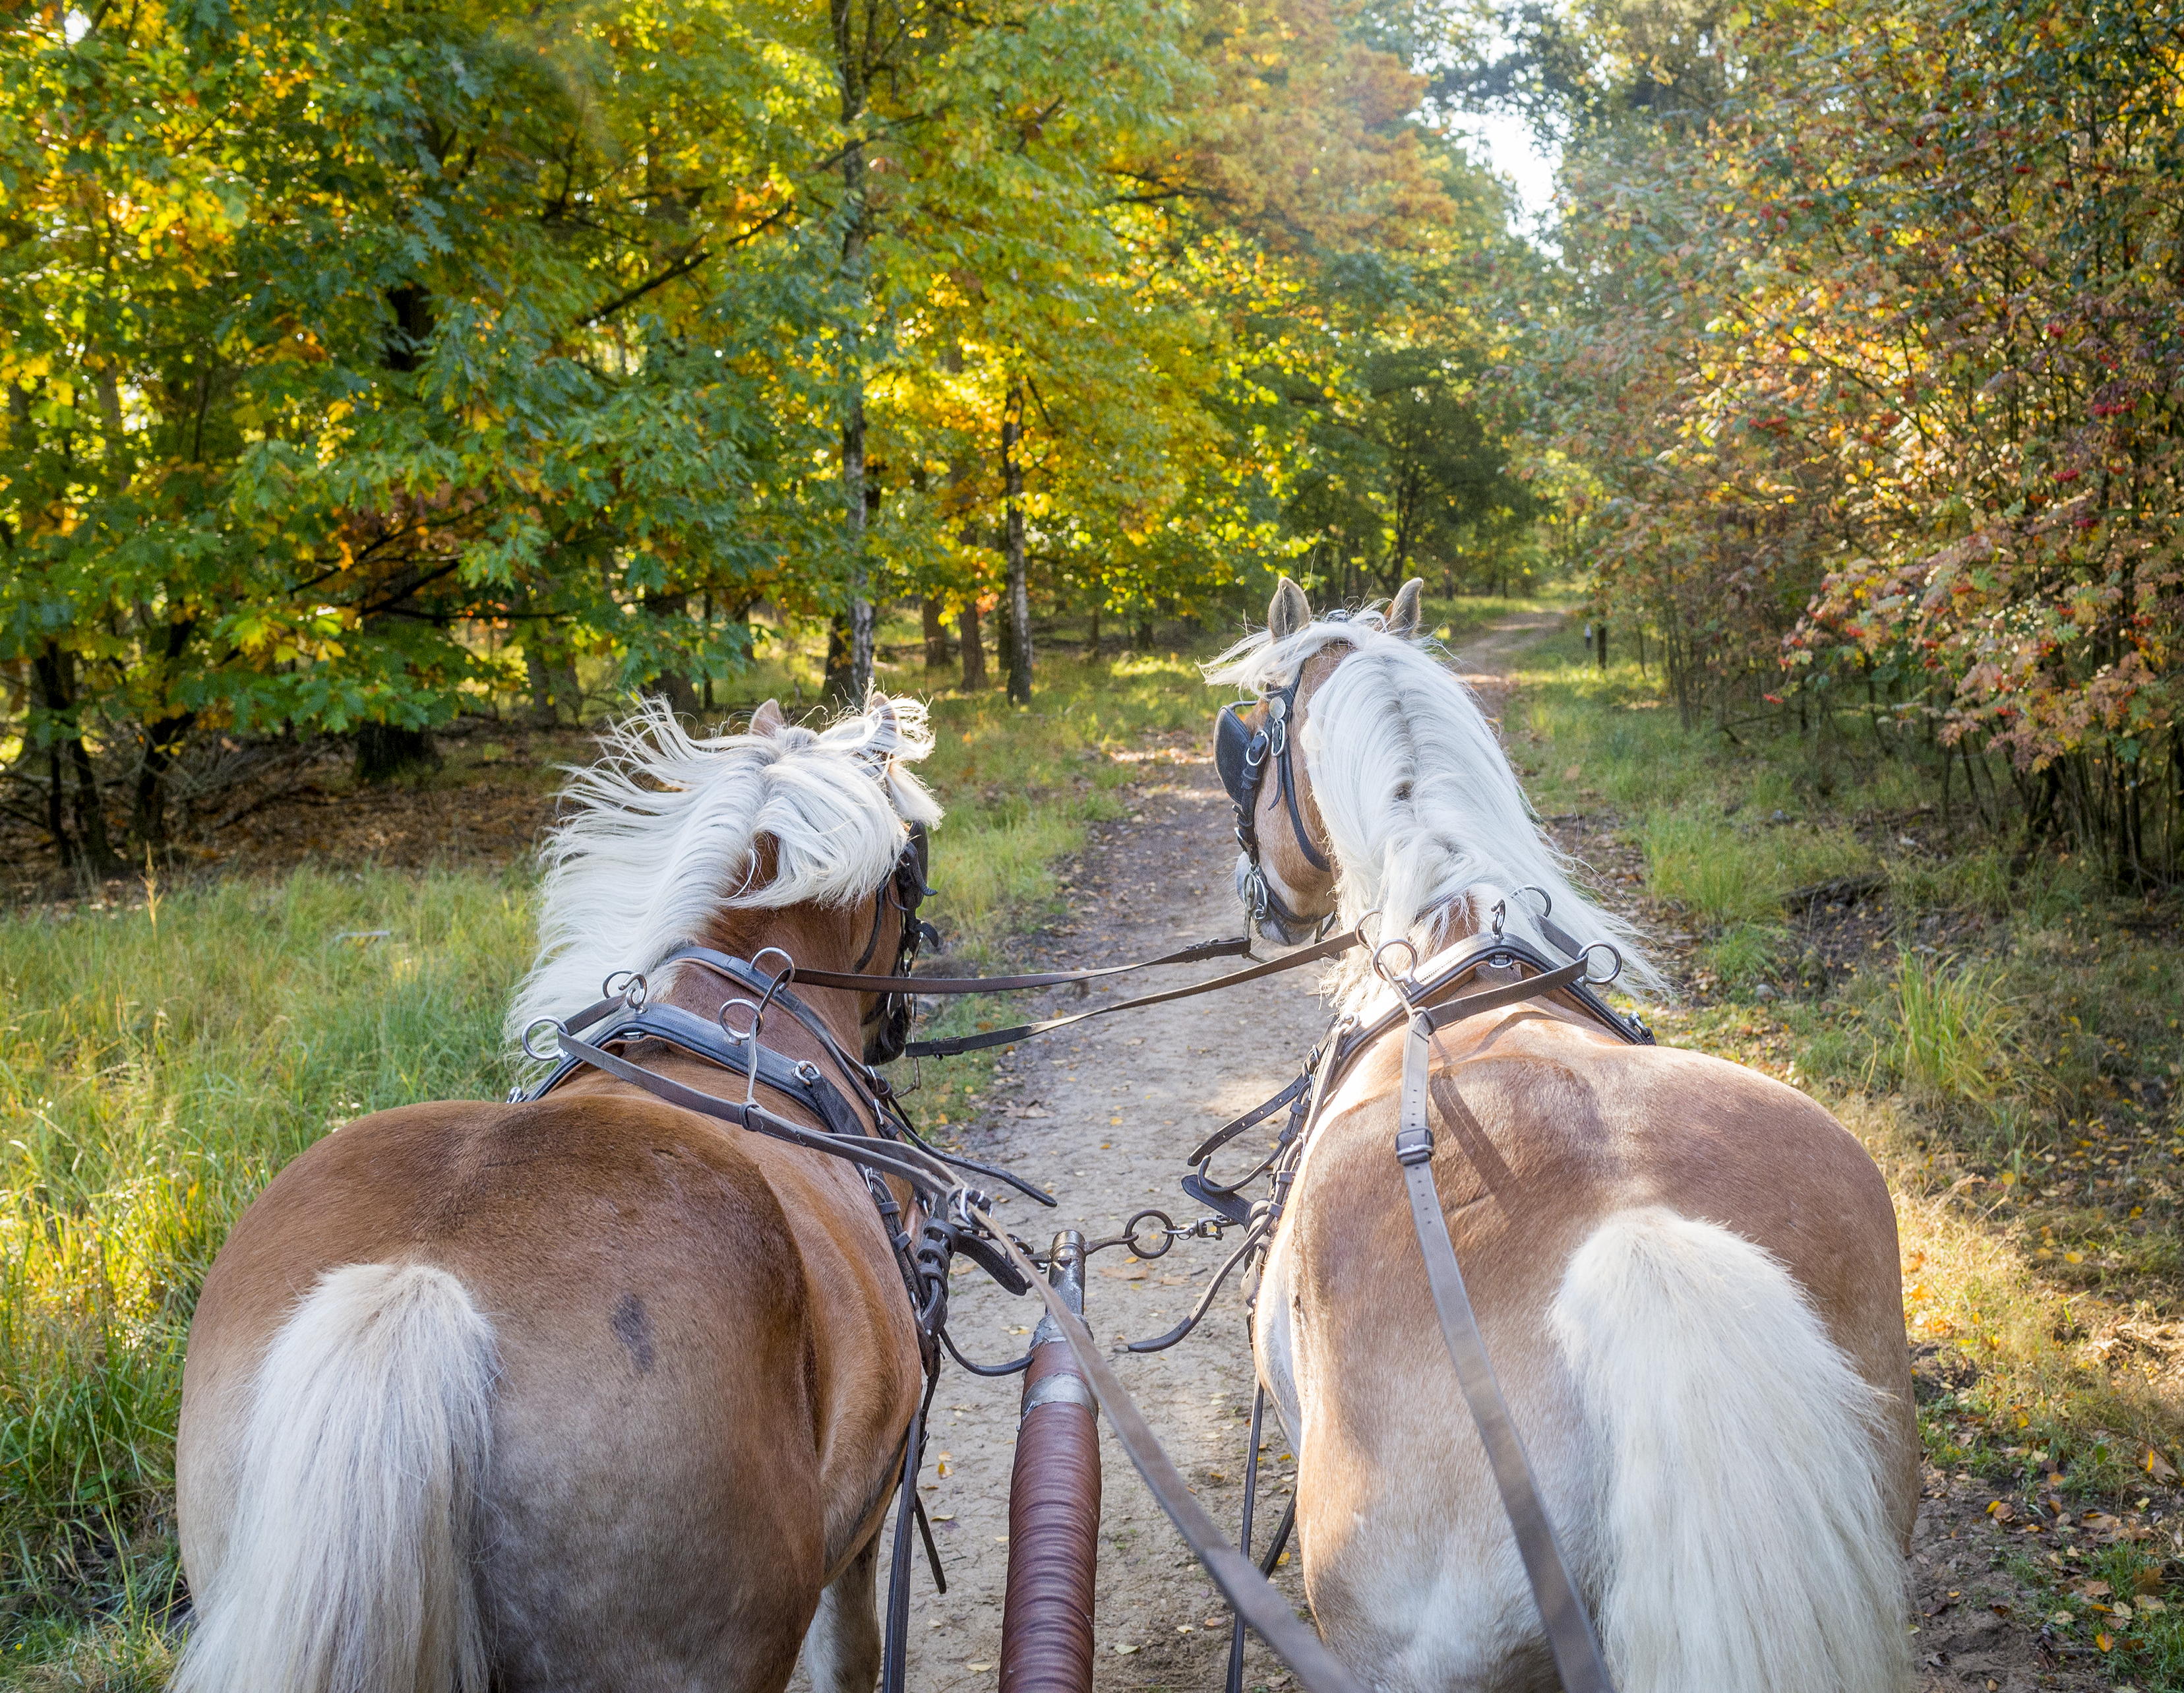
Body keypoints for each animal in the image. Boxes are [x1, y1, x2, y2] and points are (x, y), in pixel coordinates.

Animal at [177, 698, 939, 1693]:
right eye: (912, 862)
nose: (899, 1021)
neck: (740, 1019)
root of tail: (420, 1281)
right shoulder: (869, 1508)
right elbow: (851, 1653)